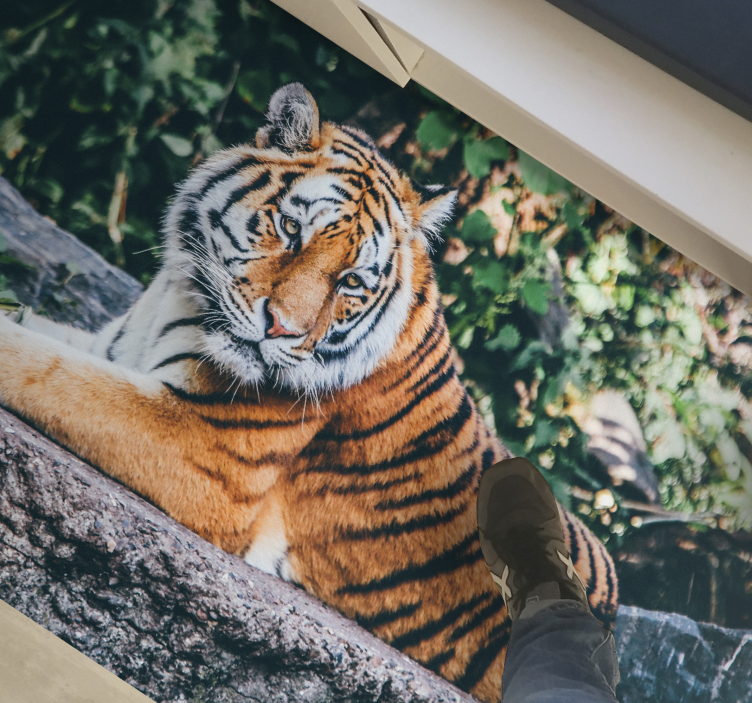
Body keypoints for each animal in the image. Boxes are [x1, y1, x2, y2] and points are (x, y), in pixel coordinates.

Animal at [0, 83, 617, 702]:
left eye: (351, 282)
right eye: (292, 230)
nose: (281, 330)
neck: (182, 298)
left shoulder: (202, 449)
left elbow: (48, 370)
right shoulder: (111, 349)